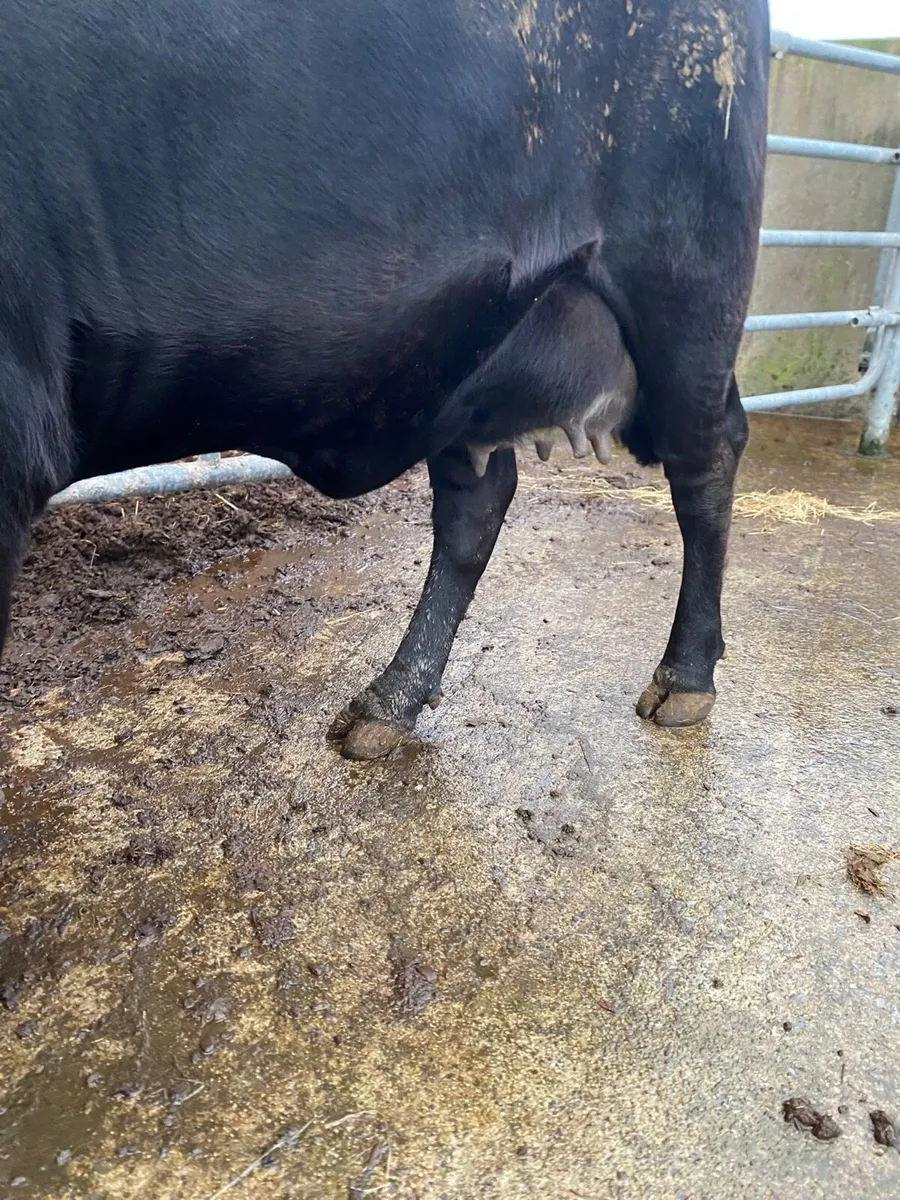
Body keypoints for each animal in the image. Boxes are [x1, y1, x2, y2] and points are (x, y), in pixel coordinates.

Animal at [0, 0, 768, 759]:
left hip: (687, 289)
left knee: (706, 460)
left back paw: (684, 679)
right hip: (465, 357)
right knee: (476, 505)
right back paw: (391, 702)